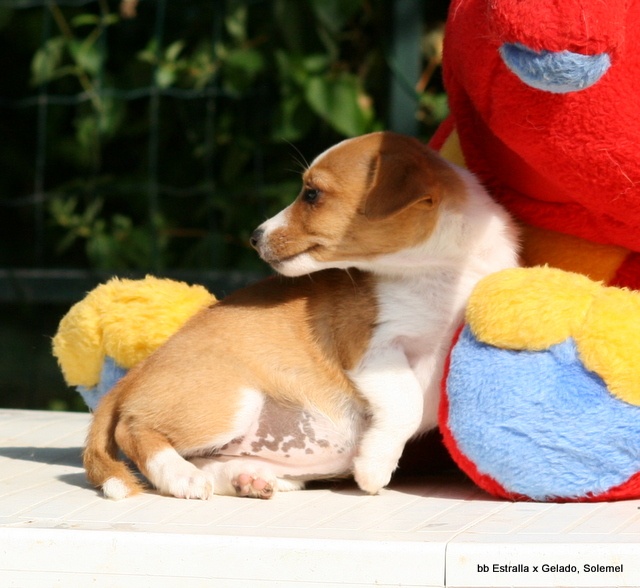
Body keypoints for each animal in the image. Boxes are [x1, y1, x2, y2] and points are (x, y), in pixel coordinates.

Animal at [83, 131, 520, 500]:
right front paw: (375, 467)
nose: (254, 236)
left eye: (312, 194)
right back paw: (180, 477)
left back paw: (247, 479)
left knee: (209, 461)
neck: (437, 273)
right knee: (134, 428)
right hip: (230, 402)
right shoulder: (371, 348)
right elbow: (406, 400)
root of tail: (132, 377)